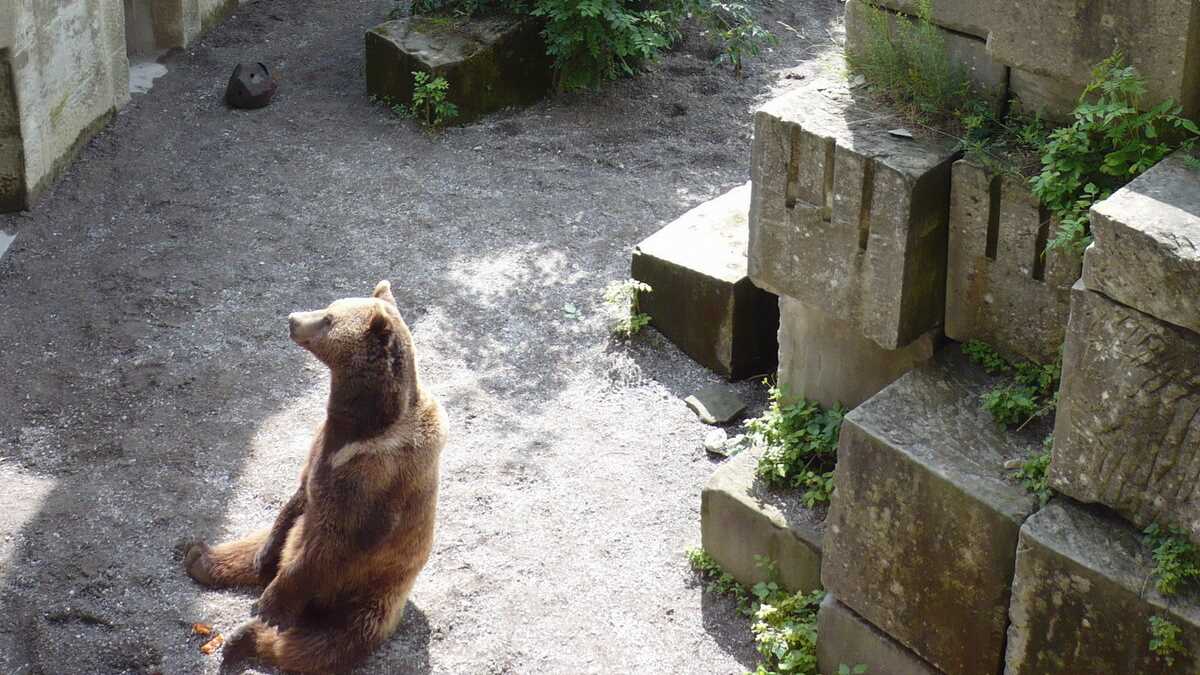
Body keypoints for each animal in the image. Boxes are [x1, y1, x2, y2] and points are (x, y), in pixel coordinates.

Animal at [182, 278, 451, 667]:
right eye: (329, 306)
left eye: (327, 318)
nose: (293, 318)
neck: (363, 426)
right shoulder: (323, 446)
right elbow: (297, 497)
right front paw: (262, 564)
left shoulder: (375, 478)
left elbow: (332, 543)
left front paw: (268, 607)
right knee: (255, 544)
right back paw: (200, 556)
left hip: (369, 599)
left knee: (320, 645)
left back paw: (243, 637)